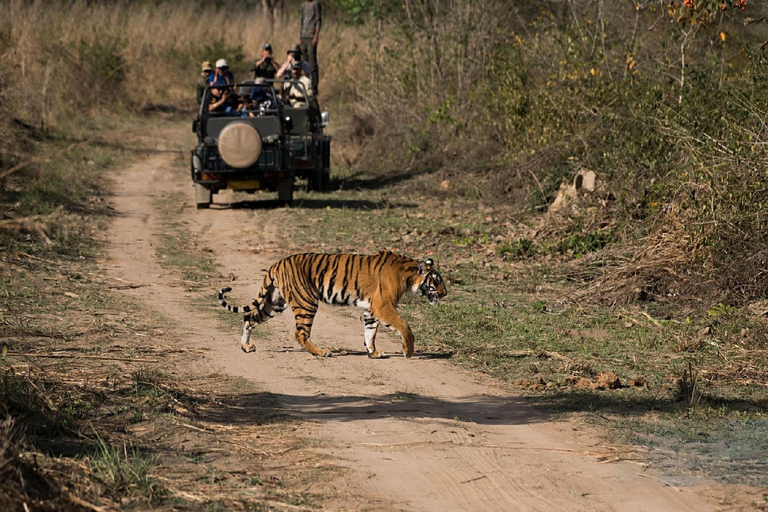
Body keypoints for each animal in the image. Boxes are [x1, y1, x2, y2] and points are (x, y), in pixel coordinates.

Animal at [218, 250, 444, 358]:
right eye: (437, 281)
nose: (445, 293)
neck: (409, 275)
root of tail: (277, 263)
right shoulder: (383, 306)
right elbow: (404, 327)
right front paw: (408, 351)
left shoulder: (371, 309)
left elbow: (370, 331)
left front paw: (373, 352)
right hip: (306, 302)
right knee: (300, 333)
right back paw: (322, 352)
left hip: (274, 303)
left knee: (249, 317)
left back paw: (246, 347)